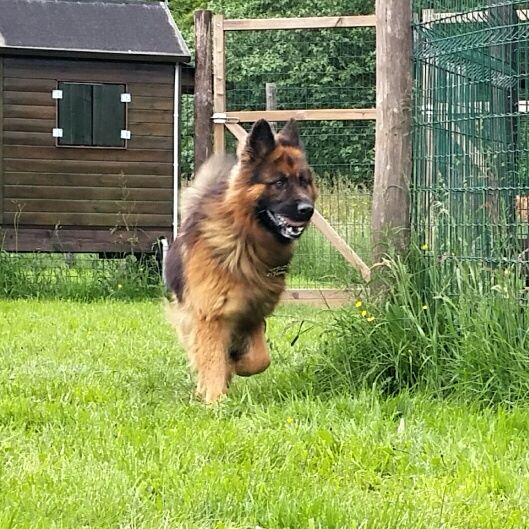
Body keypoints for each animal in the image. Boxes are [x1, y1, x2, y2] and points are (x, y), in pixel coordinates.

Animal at [163, 117, 316, 402]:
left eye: (304, 181)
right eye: (279, 182)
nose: (307, 210)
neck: (246, 240)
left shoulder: (252, 312)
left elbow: (260, 359)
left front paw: (237, 363)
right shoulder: (209, 314)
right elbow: (212, 359)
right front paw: (214, 399)